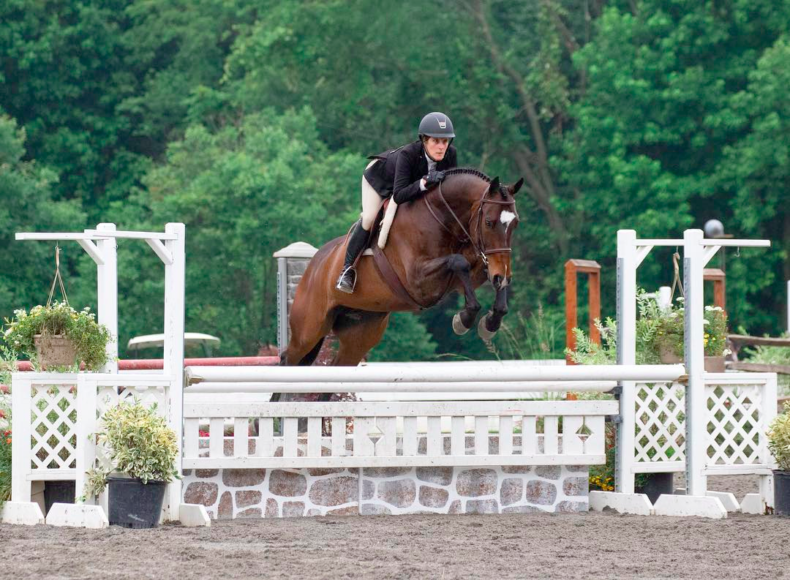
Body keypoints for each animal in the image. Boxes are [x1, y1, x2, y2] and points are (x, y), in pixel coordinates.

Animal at [282, 169, 524, 368]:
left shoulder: (470, 271)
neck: (441, 218)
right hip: (308, 331)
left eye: (515, 224)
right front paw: (463, 320)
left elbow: (480, 270)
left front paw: (490, 322)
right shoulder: (419, 283)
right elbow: (458, 262)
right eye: (489, 222)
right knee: (288, 358)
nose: (502, 277)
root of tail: (314, 264)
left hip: (360, 334)